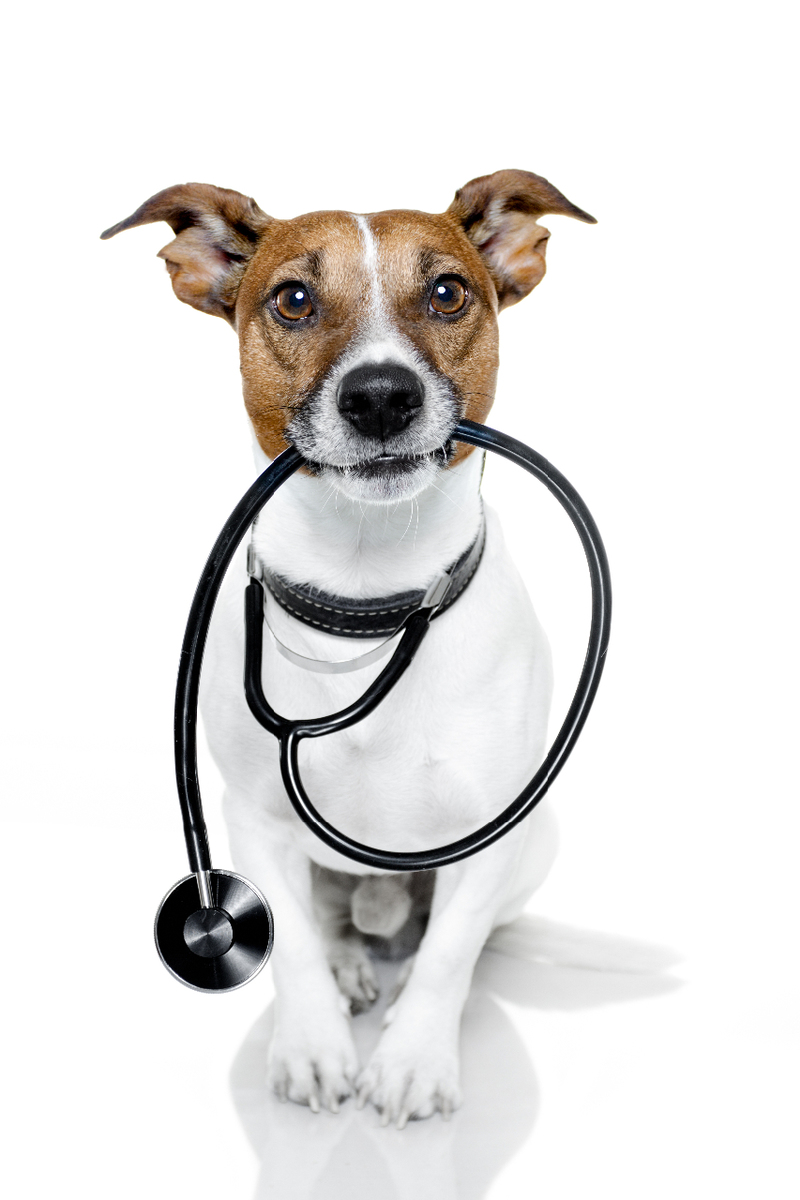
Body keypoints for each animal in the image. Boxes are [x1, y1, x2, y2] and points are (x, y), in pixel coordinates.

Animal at [101, 169, 594, 1123]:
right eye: (294, 299)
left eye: (448, 293)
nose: (380, 396)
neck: (370, 596)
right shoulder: (253, 820)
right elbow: (290, 946)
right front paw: (312, 1047)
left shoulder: (490, 833)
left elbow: (449, 954)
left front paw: (412, 1061)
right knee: (327, 920)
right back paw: (348, 967)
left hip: (539, 838)